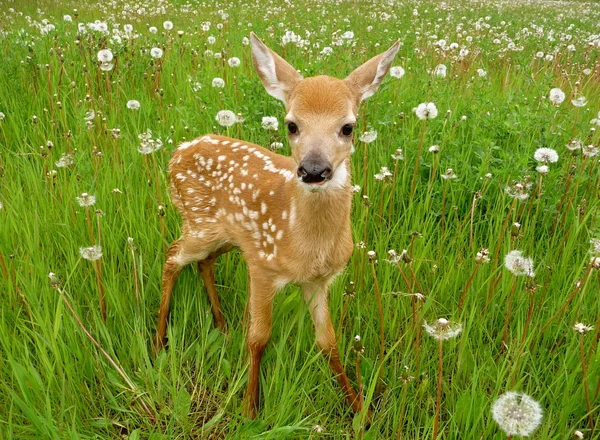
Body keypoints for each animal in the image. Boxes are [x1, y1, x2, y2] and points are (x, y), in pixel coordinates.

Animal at [155, 32, 398, 418]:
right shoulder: (262, 266)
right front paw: (249, 410)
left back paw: (221, 326)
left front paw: (359, 409)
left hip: (228, 236)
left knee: (203, 262)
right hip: (198, 222)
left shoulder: (317, 281)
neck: (302, 240)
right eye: (291, 124)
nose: (313, 170)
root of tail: (177, 152)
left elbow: (328, 342)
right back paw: (160, 341)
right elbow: (258, 338)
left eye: (348, 127)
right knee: (173, 256)